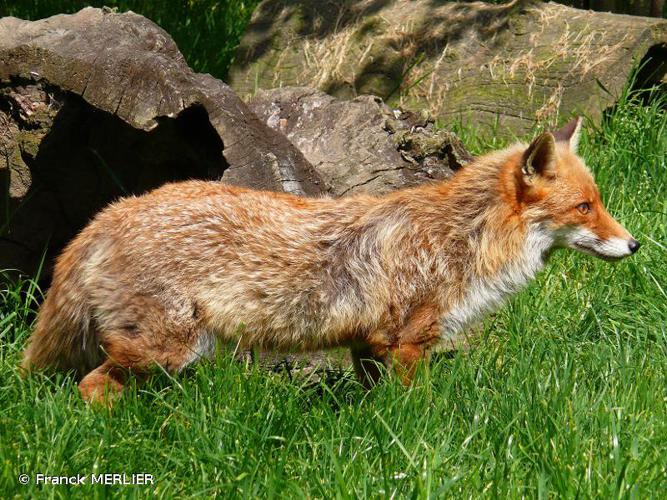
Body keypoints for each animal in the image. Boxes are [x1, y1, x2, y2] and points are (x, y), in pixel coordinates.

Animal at [19, 117, 640, 402]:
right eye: (585, 207)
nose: (635, 245)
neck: (461, 240)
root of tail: (109, 213)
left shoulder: (370, 343)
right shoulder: (406, 341)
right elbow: (420, 408)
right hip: (167, 348)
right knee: (91, 387)